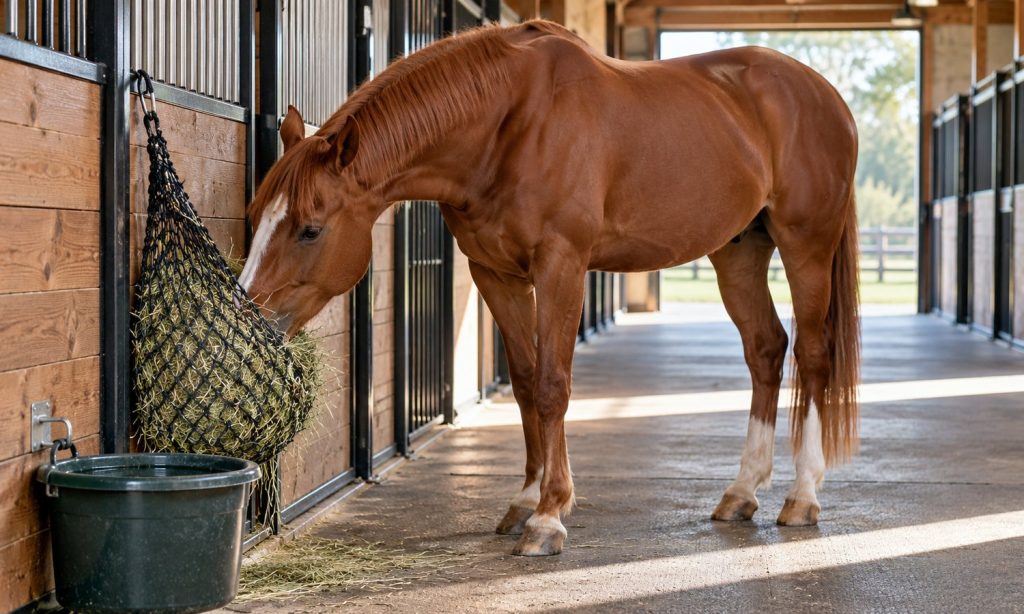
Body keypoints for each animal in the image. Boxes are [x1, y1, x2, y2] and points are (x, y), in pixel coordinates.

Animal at [238, 20, 860, 556]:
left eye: (310, 228)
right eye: (255, 214)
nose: (251, 317)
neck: (508, 123)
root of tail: (827, 96)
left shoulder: (561, 264)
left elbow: (553, 386)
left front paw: (548, 517)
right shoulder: (495, 272)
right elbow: (524, 381)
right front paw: (525, 499)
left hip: (805, 244)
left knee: (812, 354)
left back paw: (802, 496)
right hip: (739, 250)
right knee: (765, 349)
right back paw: (741, 491)